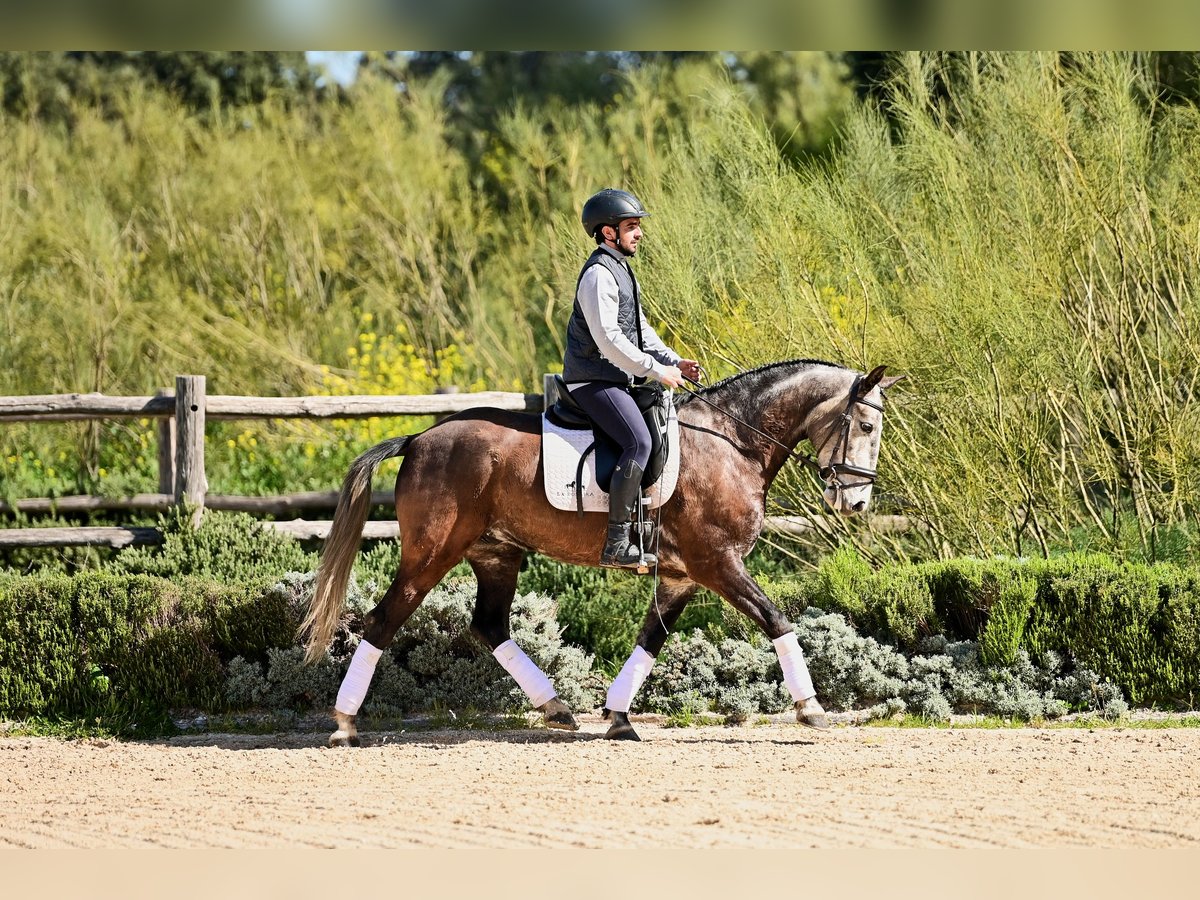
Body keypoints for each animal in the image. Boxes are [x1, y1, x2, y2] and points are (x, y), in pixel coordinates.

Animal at [297, 360, 902, 748]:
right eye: (866, 425)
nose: (857, 501)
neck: (733, 445)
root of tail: (421, 437)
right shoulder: (718, 564)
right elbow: (777, 619)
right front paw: (812, 709)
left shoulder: (681, 576)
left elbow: (650, 640)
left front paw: (617, 718)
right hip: (430, 556)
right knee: (382, 621)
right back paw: (344, 724)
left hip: (497, 554)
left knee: (489, 625)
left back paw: (556, 707)